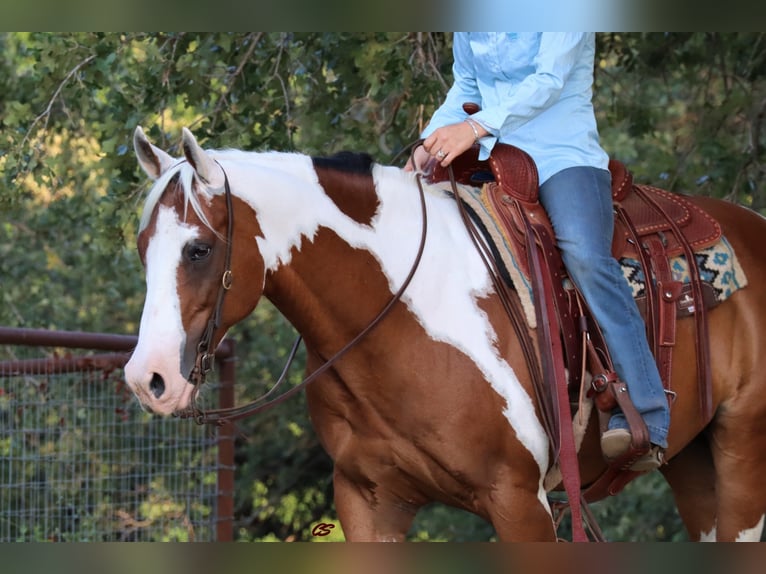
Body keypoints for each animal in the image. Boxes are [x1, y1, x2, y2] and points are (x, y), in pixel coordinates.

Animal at [123, 127, 766, 544]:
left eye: (198, 249)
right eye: (141, 248)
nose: (147, 379)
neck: (400, 320)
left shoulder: (520, 503)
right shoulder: (368, 503)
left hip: (742, 454)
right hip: (692, 461)